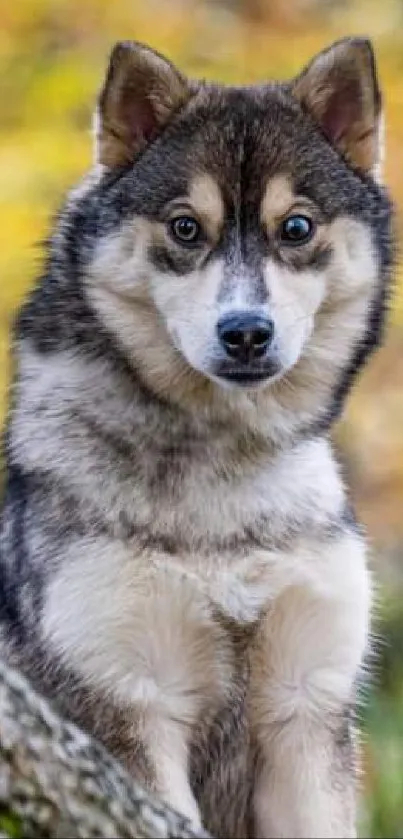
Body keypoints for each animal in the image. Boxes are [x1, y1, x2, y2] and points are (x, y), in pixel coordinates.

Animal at [0, 36, 394, 836]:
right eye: (186, 227)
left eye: (296, 227)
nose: (245, 332)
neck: (224, 483)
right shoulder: (129, 701)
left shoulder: (305, 710)